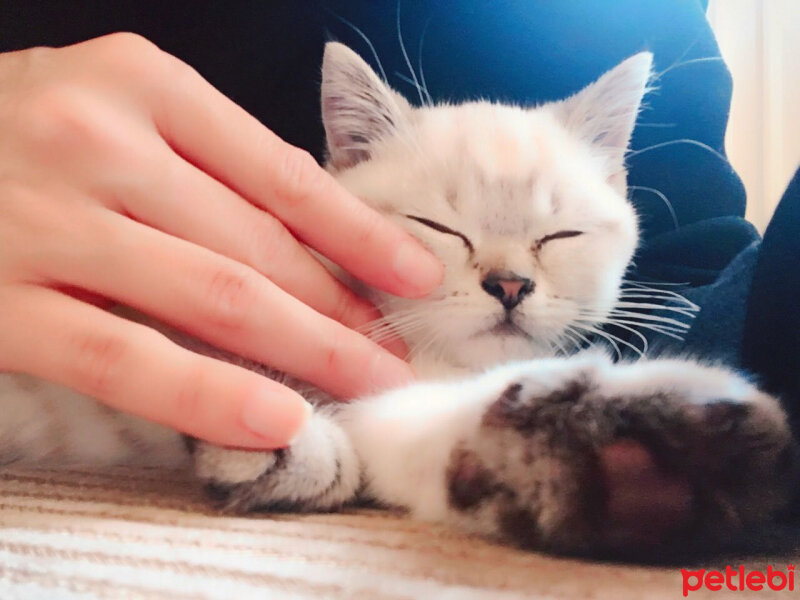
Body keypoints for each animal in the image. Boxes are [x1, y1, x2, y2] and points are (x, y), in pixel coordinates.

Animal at [0, 42, 792, 556]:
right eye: (440, 228)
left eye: (558, 235)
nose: (510, 285)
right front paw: (272, 441)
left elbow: (423, 426)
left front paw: (604, 455)